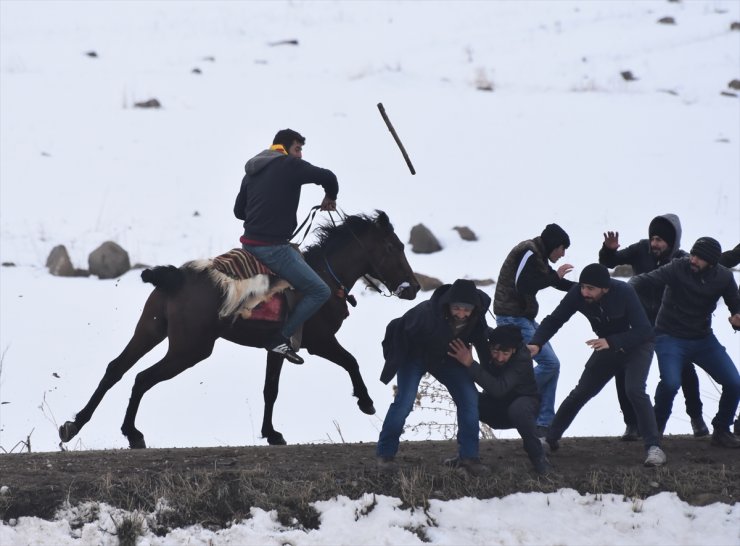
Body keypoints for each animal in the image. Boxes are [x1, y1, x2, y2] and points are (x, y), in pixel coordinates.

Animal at [57, 209, 420, 446]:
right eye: (393, 247)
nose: (413, 287)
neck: (325, 276)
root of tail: (174, 277)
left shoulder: (278, 348)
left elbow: (270, 390)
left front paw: (271, 433)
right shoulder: (320, 341)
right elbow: (351, 362)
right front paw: (366, 401)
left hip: (150, 331)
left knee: (116, 369)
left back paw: (74, 425)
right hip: (189, 349)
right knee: (142, 378)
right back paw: (132, 434)